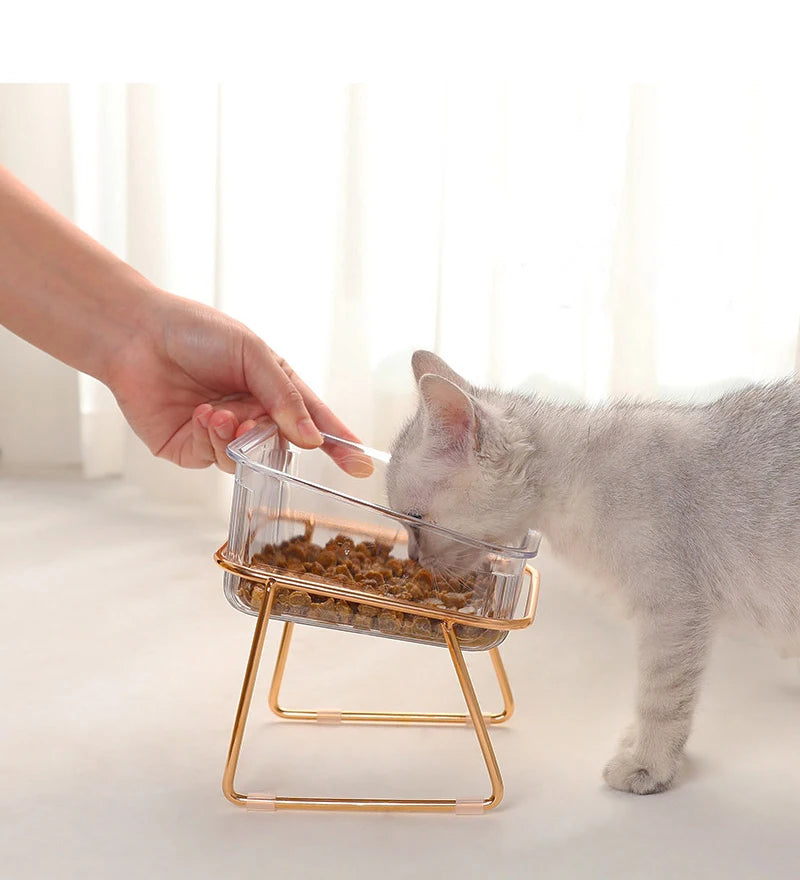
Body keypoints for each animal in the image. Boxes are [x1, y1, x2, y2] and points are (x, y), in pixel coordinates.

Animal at [386, 350, 800, 796]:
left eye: (413, 520)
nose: (413, 558)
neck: (576, 474)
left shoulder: (674, 611)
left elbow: (661, 697)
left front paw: (648, 763)